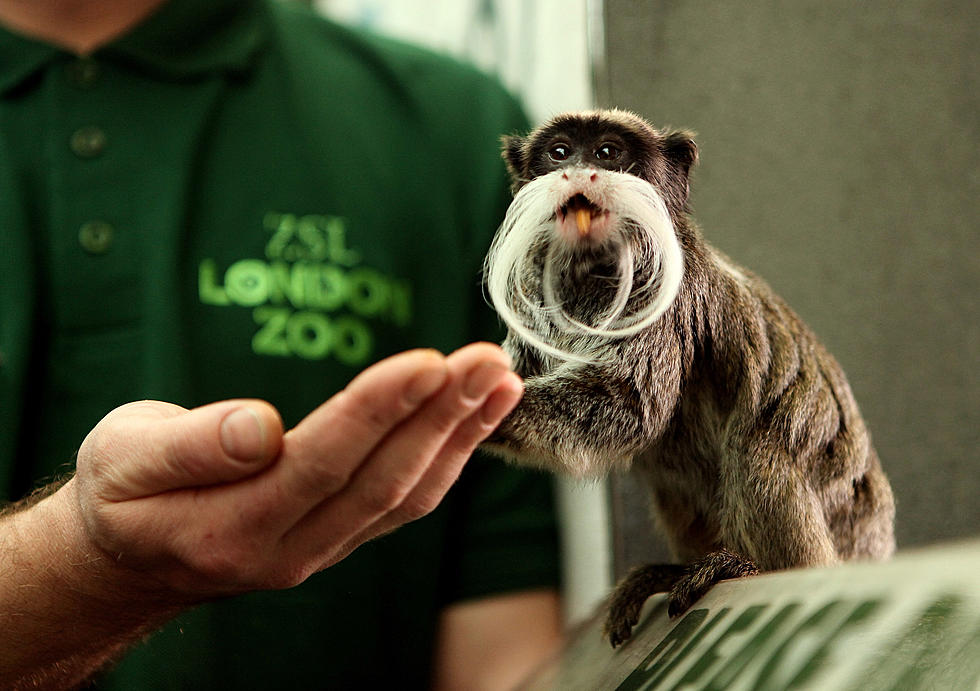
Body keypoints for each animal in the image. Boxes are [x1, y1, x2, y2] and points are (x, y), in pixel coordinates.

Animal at [482, 109, 896, 648]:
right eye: (560, 153)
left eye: (608, 153)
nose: (578, 172)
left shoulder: (660, 291)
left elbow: (627, 406)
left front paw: (490, 413)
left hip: (841, 519)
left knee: (759, 447)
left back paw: (746, 567)